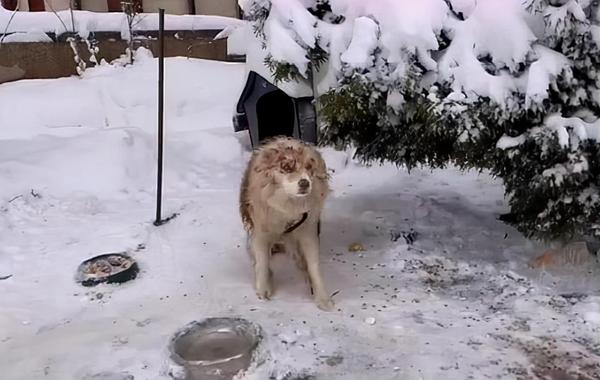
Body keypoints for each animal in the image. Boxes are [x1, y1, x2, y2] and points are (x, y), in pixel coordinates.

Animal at [238, 137, 332, 312]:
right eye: (287, 167)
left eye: (309, 168)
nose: (304, 183)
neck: (288, 206)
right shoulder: (261, 232)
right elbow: (262, 263)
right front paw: (263, 290)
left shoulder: (308, 231)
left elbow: (314, 266)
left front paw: (323, 298)